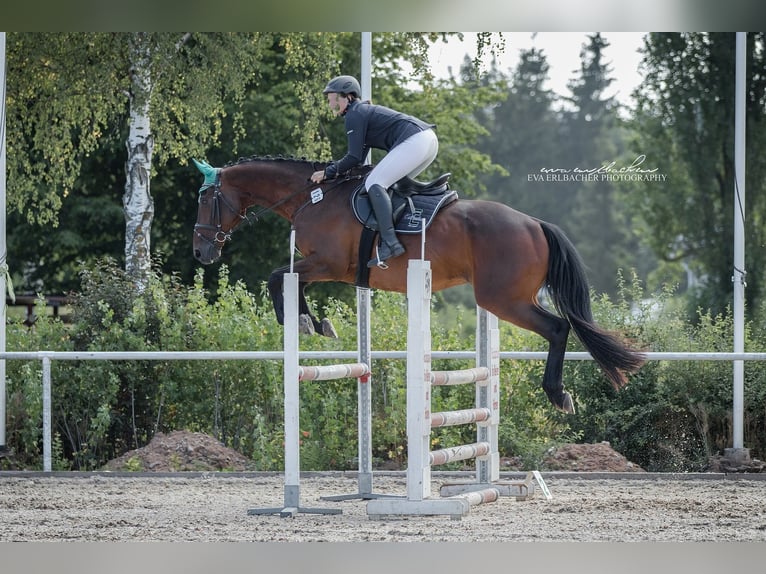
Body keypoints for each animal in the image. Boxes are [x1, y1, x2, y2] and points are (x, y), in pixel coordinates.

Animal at [192, 155, 648, 414]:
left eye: (205, 200)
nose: (201, 253)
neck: (311, 196)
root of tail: (535, 223)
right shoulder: (325, 267)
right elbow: (292, 281)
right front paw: (316, 323)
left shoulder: (328, 263)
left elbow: (278, 278)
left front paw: (300, 321)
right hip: (505, 298)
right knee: (560, 327)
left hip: (504, 298)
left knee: (558, 327)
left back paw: (557, 393)